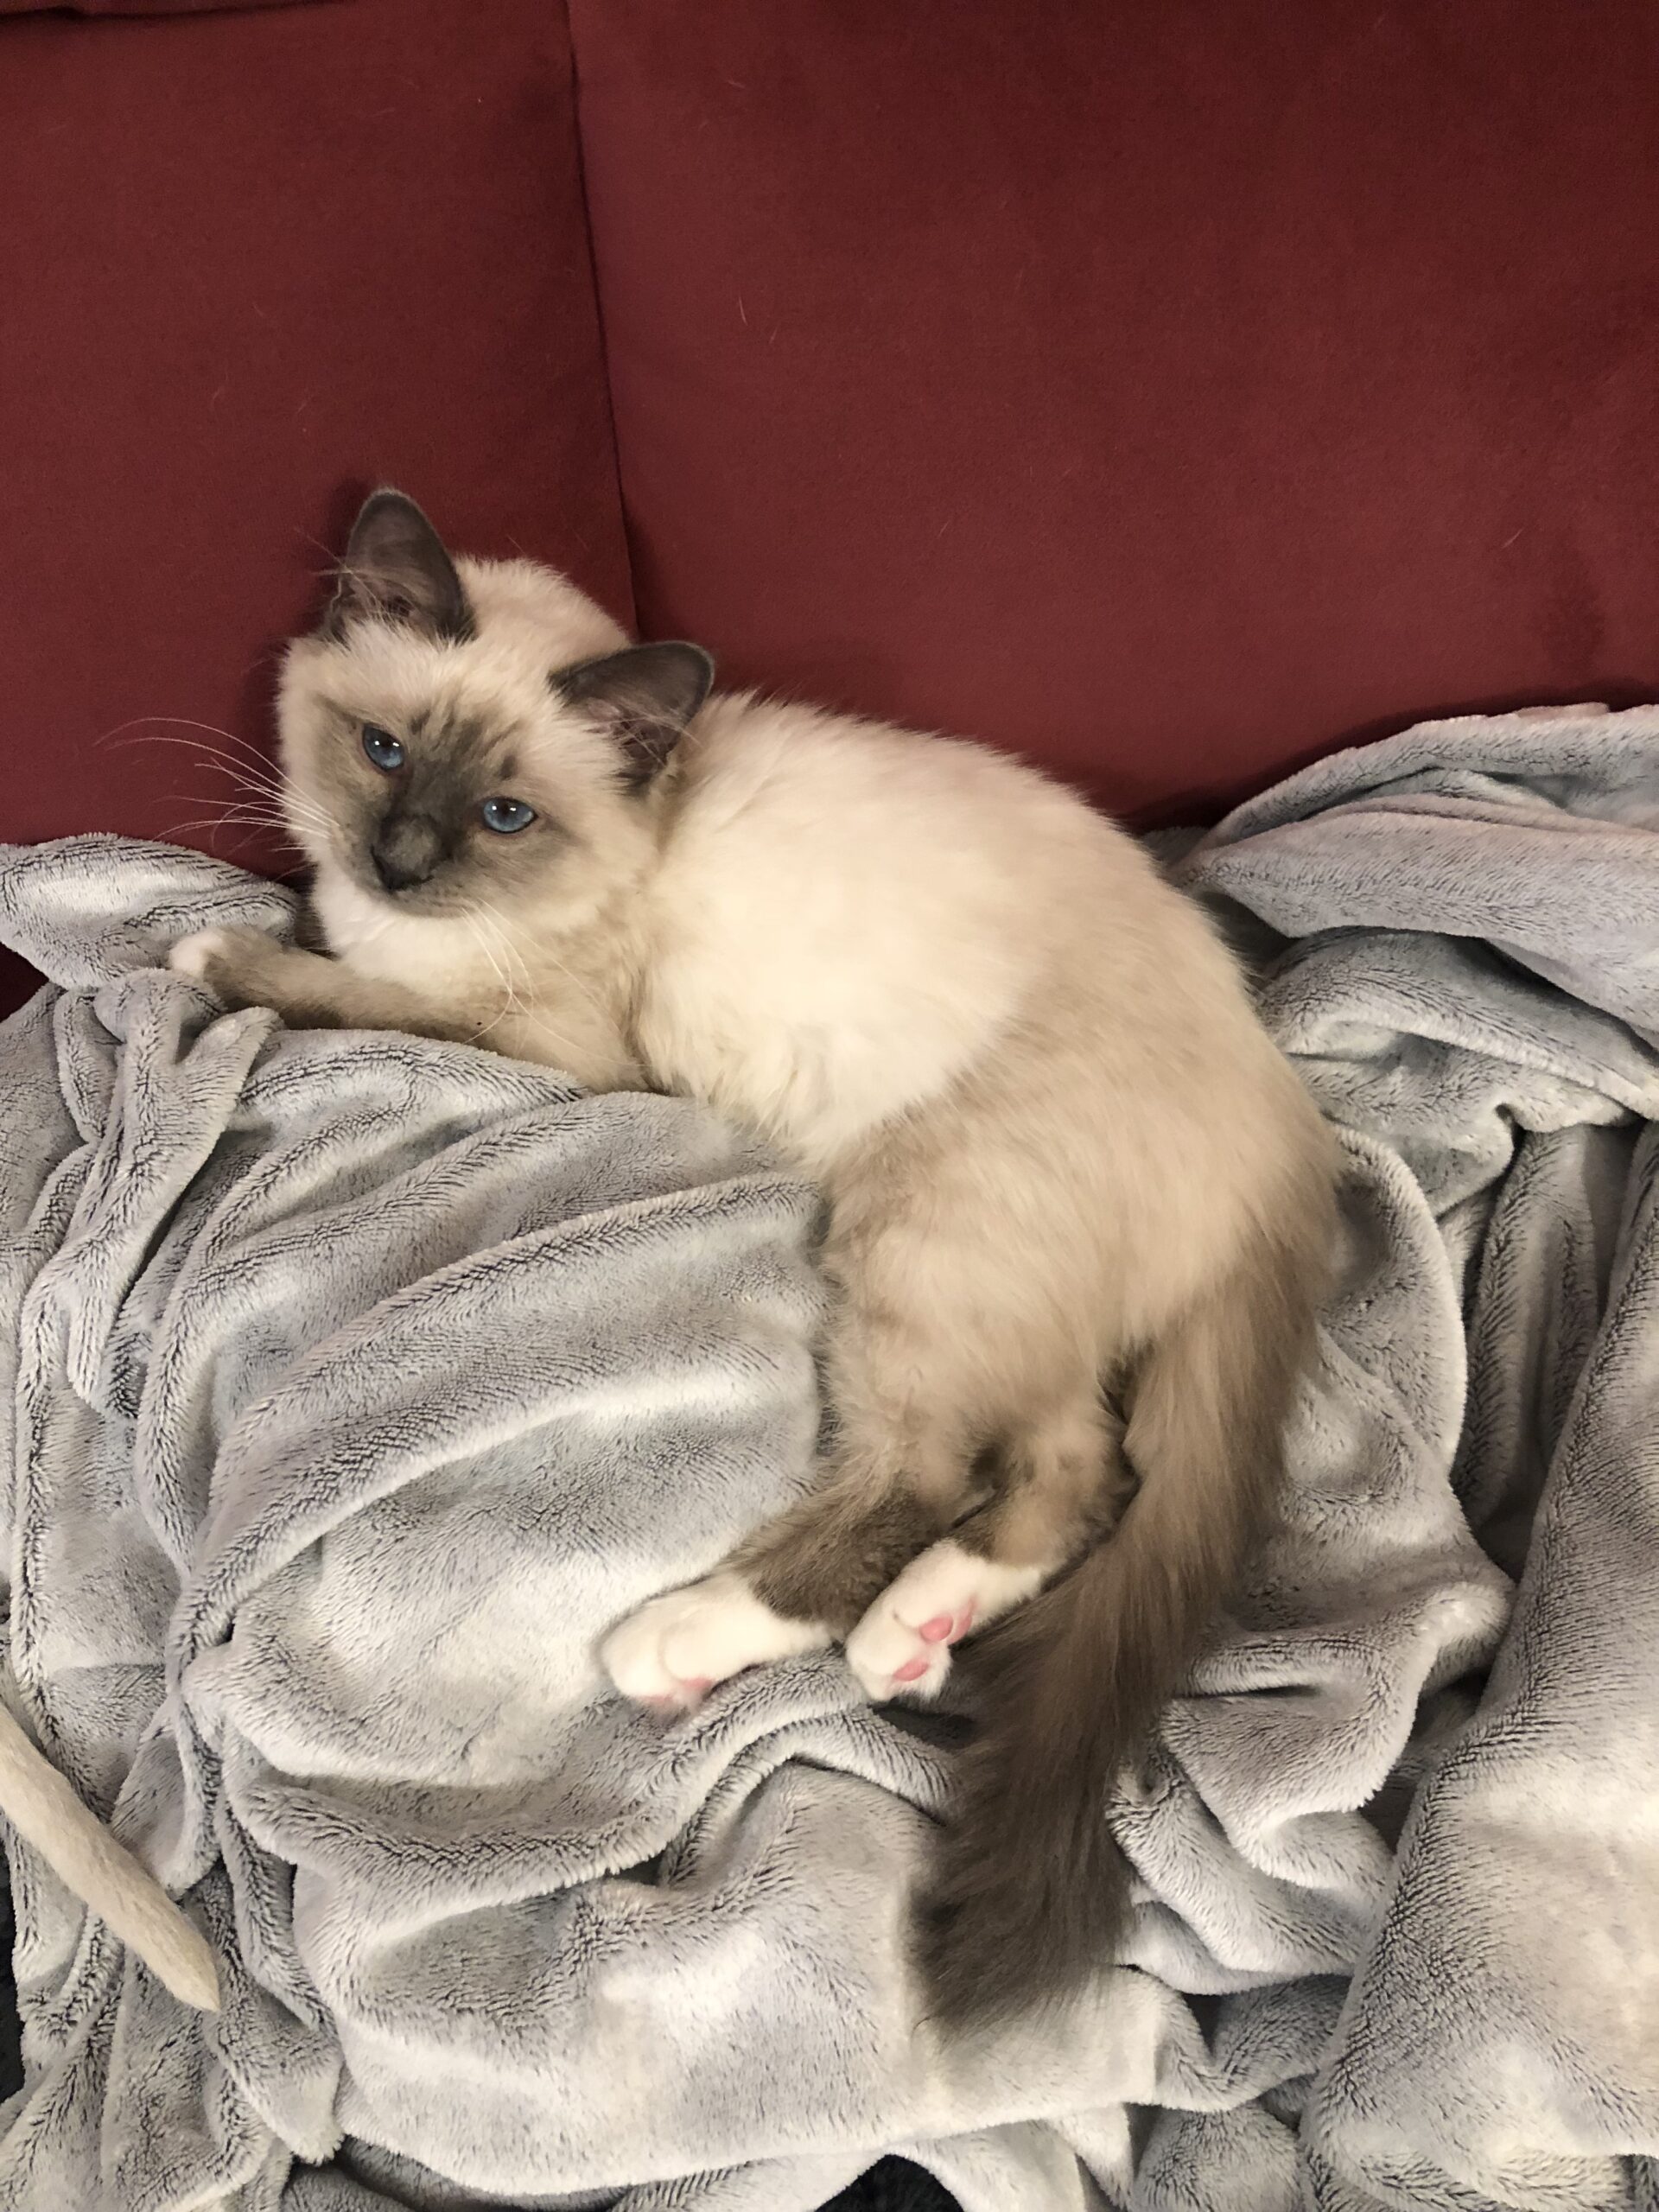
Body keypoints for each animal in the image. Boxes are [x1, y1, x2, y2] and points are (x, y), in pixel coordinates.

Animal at [164, 488, 1337, 2026]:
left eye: (503, 815)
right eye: (383, 751)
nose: (400, 862)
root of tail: (1279, 1118)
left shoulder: (541, 1047)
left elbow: (335, 989)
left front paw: (209, 956)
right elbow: (334, 949)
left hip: (913, 1237)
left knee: (932, 1474)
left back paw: (684, 1644)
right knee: (1085, 1475)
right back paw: (911, 1635)